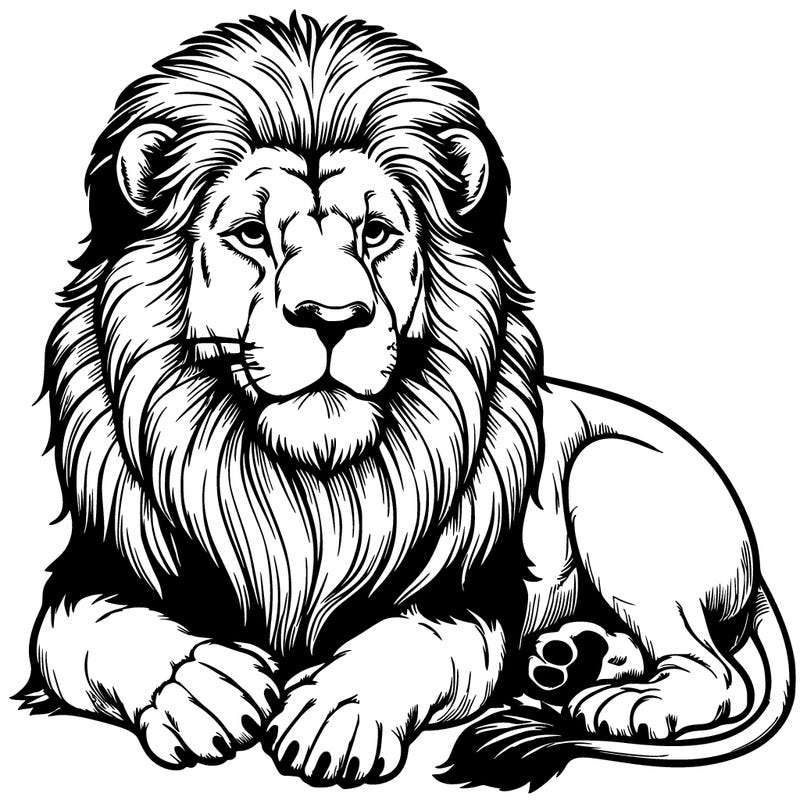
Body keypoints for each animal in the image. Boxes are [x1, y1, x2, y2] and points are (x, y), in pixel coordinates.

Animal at [17, 13, 793, 791]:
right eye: (252, 234)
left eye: (375, 232)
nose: (332, 317)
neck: (304, 489)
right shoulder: (91, 572)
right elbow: (86, 631)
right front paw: (198, 687)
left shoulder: (467, 601)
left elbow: (410, 640)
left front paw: (339, 715)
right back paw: (571, 659)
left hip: (610, 475)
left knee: (715, 669)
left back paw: (626, 696)